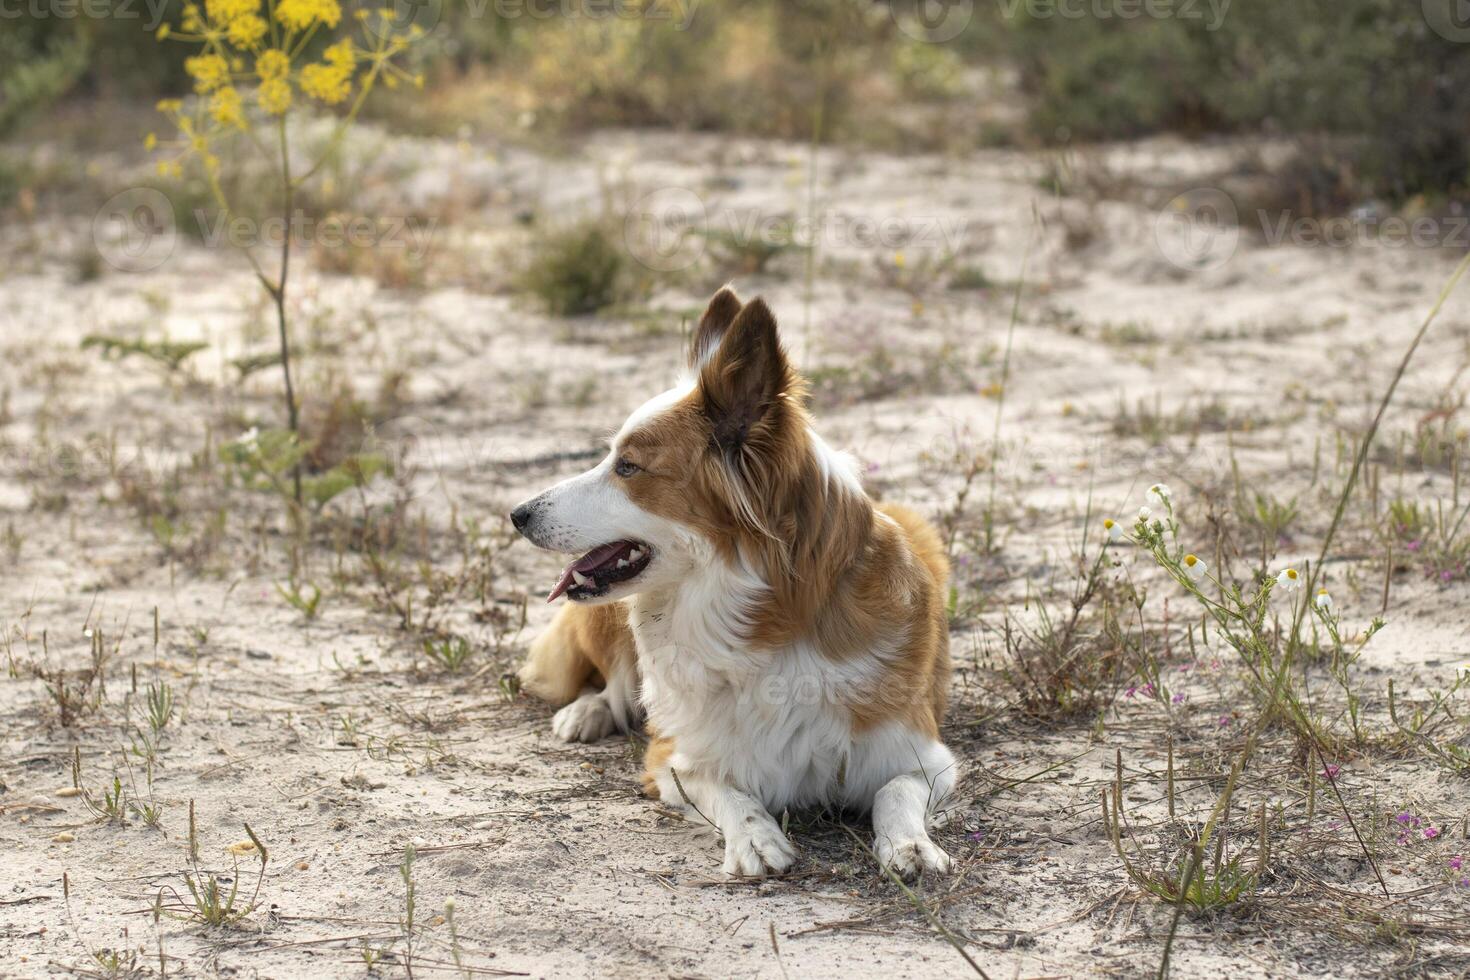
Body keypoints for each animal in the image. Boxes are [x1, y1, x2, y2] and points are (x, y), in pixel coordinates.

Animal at [511, 287, 958, 875]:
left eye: (627, 467)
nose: (516, 514)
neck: (761, 621)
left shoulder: (925, 755)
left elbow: (895, 791)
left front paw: (911, 845)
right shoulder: (674, 759)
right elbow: (729, 791)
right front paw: (755, 839)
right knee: (612, 682)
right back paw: (587, 712)